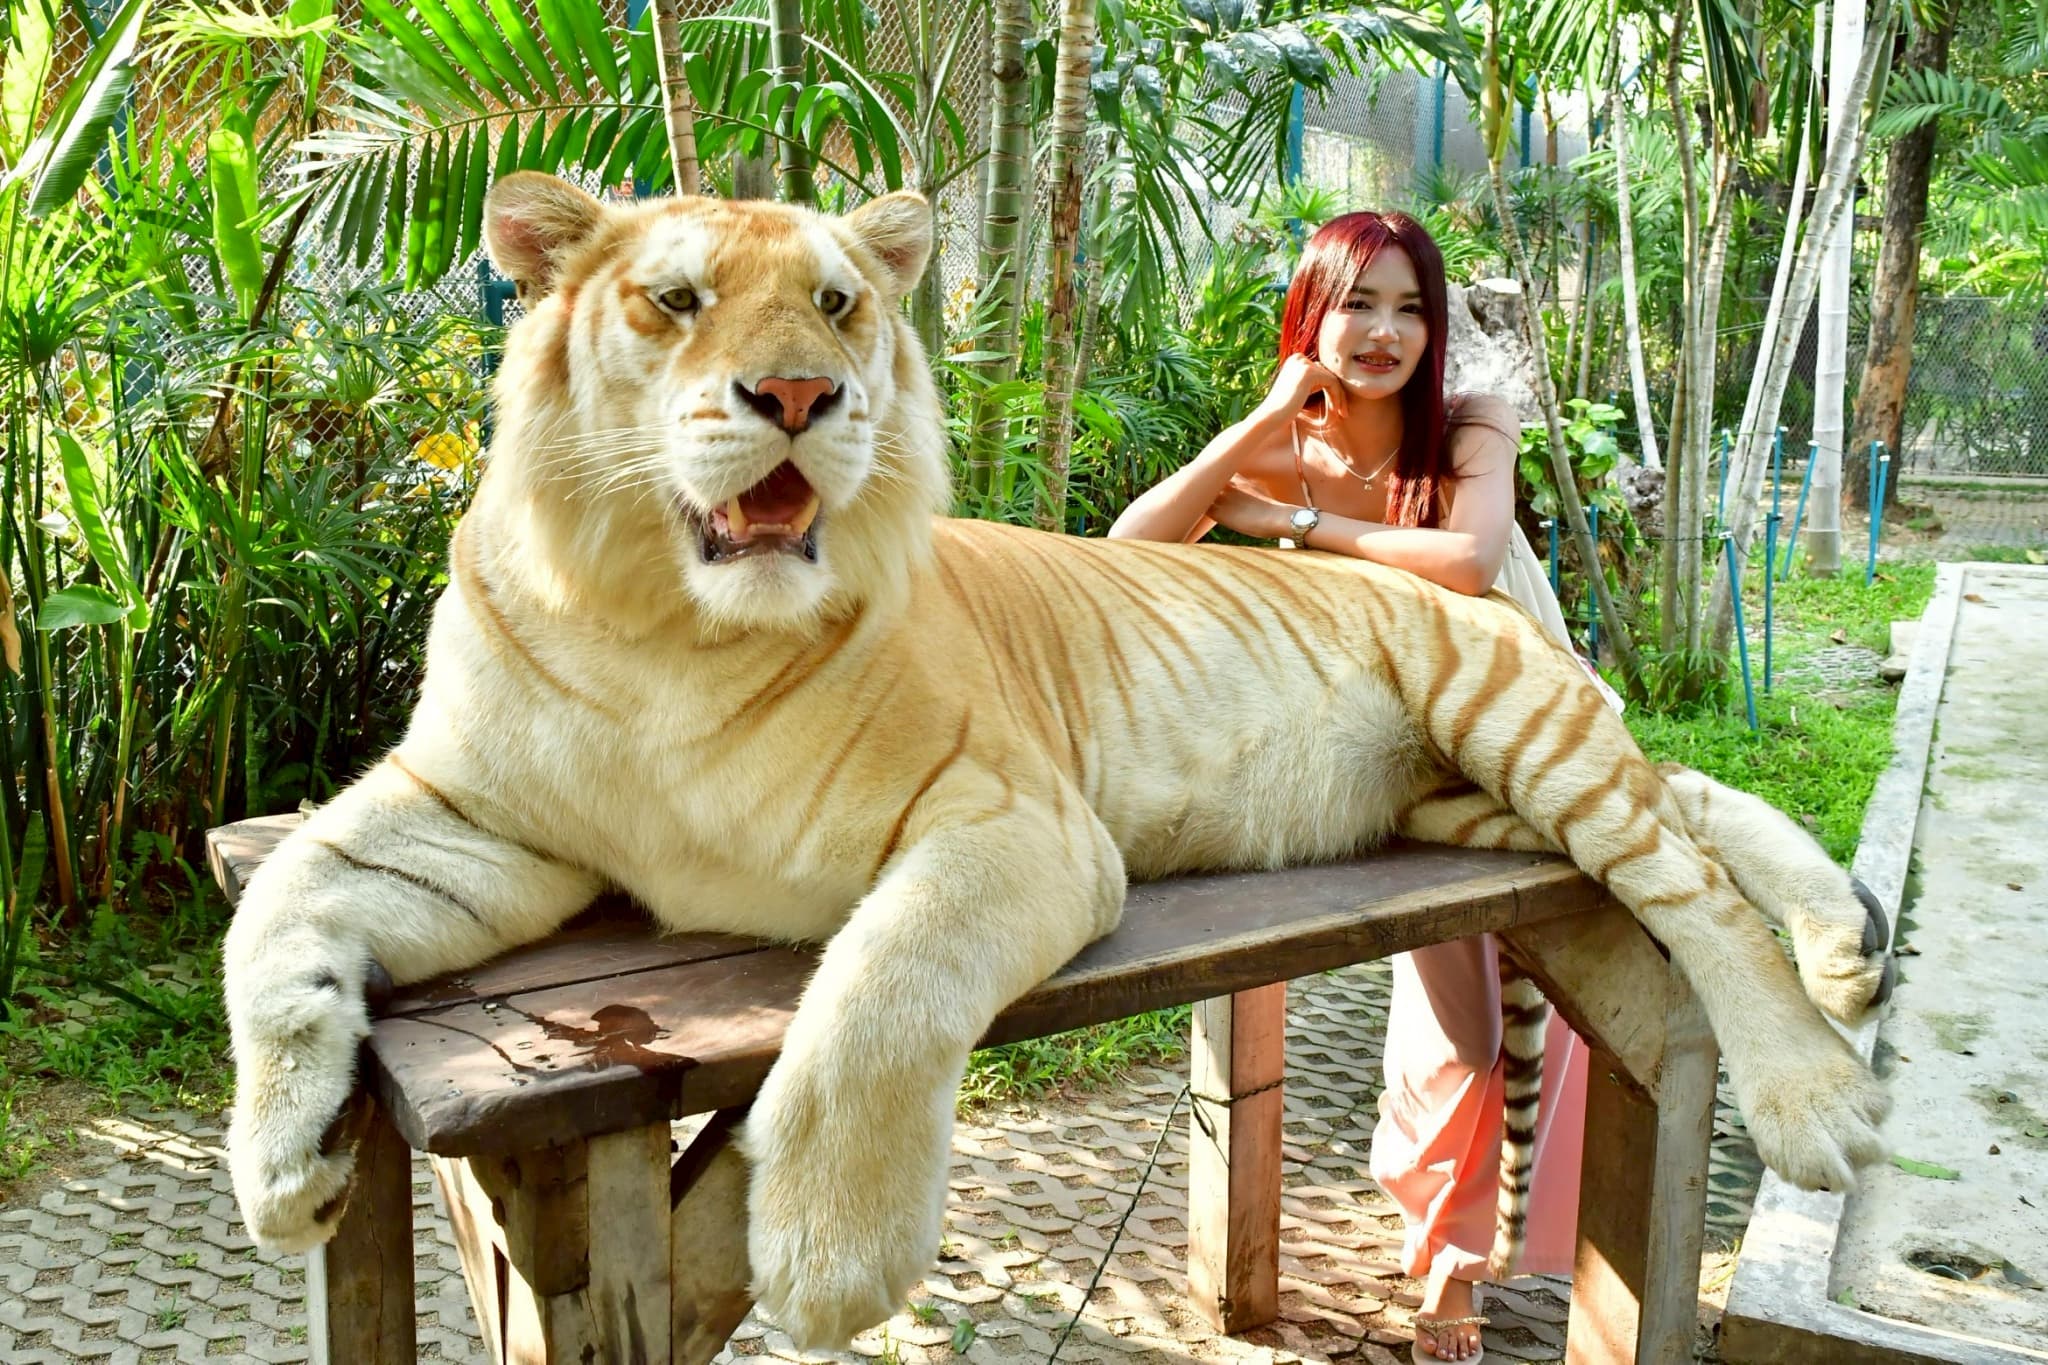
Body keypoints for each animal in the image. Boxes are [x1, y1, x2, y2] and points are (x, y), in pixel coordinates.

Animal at [222, 172, 1892, 1351]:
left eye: (839, 304)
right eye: (676, 299)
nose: (800, 397)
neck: (666, 627)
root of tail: (1493, 599)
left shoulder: (1012, 824)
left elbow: (883, 988)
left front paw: (827, 1261)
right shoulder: (478, 814)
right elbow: (278, 911)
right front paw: (284, 1167)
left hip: (1509, 723)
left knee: (1687, 883)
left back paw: (1823, 1088)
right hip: (1476, 794)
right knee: (1693, 803)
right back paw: (1848, 942)